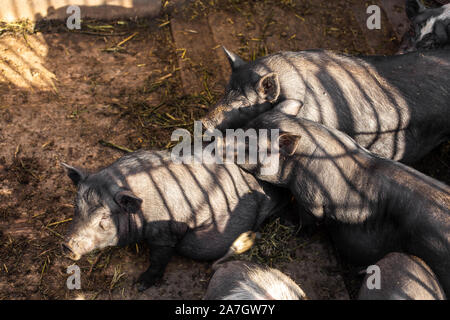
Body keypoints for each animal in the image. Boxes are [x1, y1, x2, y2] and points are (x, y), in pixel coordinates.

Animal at [60, 149, 288, 292]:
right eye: (76, 205)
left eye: (105, 216)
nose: (67, 245)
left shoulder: (165, 232)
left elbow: (158, 258)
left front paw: (140, 285)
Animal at [230, 105, 450, 298]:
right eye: (246, 125)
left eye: (249, 145)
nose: (223, 140)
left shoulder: (311, 200)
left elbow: (308, 221)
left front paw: (296, 233)